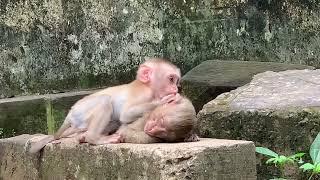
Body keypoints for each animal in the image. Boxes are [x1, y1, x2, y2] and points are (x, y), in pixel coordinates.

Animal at [26, 58, 181, 153]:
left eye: (176, 81)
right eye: (171, 79)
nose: (175, 89)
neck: (148, 86)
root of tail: (69, 114)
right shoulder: (143, 94)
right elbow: (126, 114)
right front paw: (164, 100)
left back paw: (83, 136)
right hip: (81, 112)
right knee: (105, 101)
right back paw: (94, 138)